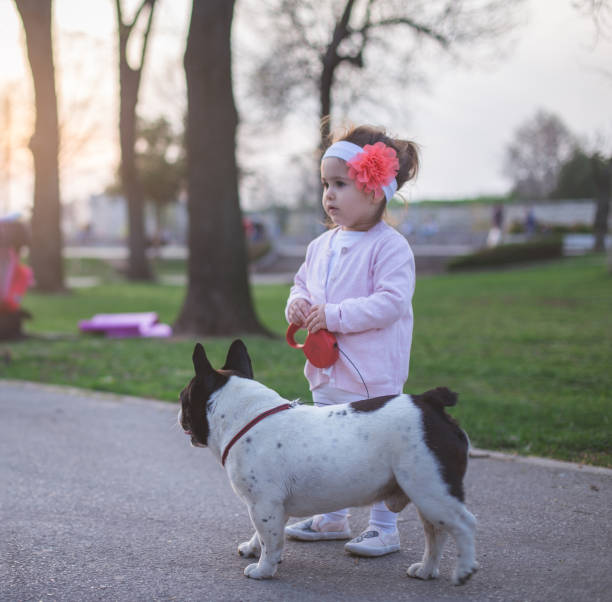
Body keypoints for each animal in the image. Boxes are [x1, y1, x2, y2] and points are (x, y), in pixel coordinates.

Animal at [178, 340, 478, 584]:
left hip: (431, 489)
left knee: (464, 524)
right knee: (436, 532)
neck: (244, 416)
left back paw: (464, 571)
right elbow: (265, 533)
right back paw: (426, 570)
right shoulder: (270, 506)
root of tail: (430, 403)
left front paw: (264, 569)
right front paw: (255, 549)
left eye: (183, 398)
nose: (180, 416)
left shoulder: (263, 503)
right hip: (426, 494)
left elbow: (270, 538)